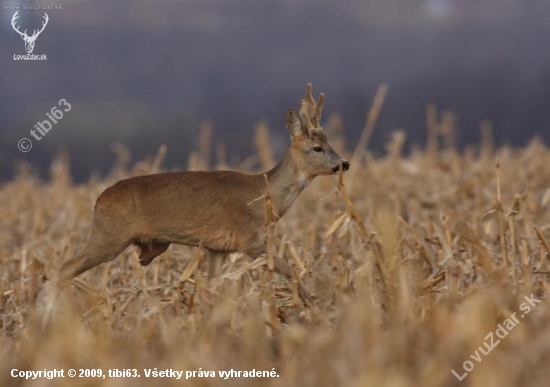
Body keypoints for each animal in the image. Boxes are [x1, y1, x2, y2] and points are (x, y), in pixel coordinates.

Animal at [58, 84, 352, 292]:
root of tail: (98, 200)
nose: (345, 163)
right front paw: (311, 302)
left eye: (330, 142)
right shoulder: (249, 239)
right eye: (318, 147)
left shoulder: (218, 249)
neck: (264, 195)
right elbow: (289, 270)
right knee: (64, 269)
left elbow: (214, 287)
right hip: (108, 236)